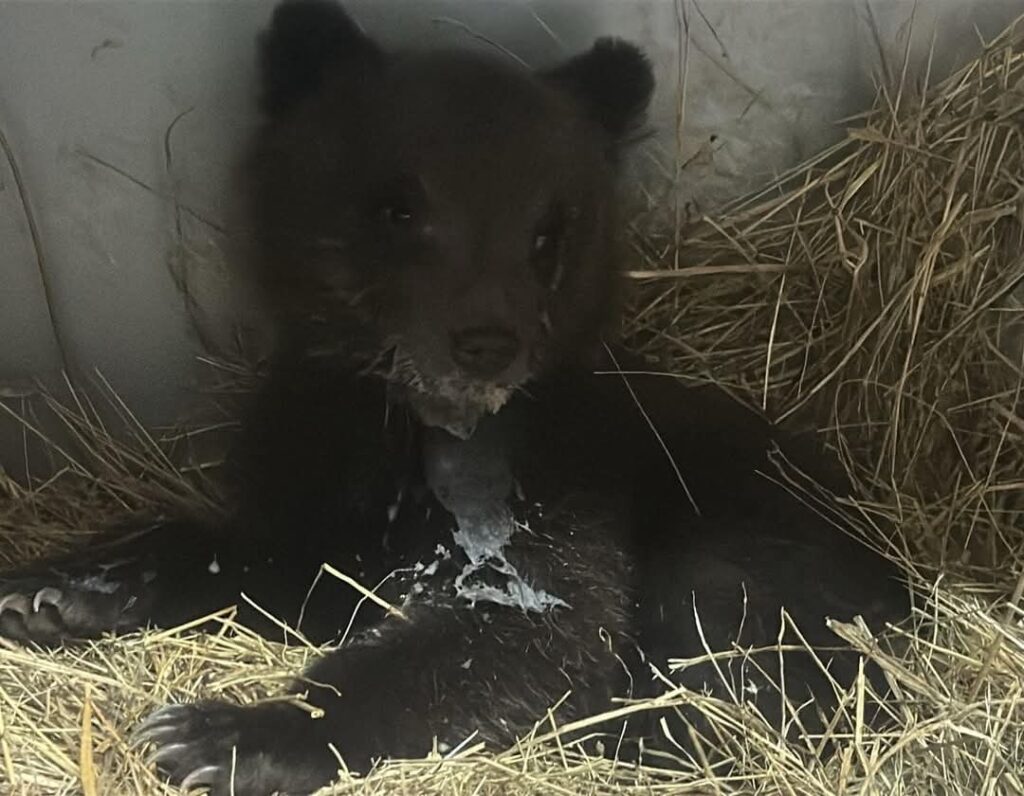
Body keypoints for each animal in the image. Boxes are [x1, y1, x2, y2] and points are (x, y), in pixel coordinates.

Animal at [0, 1, 909, 793]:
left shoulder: (559, 481)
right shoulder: (312, 467)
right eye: (399, 206)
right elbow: (272, 560)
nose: (486, 343)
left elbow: (527, 626)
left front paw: (226, 733)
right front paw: (57, 587)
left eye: (548, 232)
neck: (409, 431)